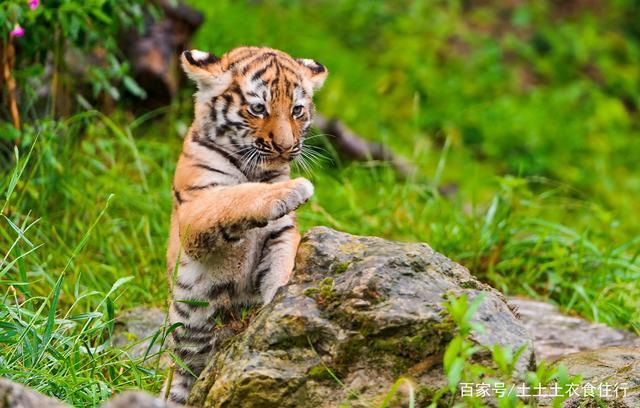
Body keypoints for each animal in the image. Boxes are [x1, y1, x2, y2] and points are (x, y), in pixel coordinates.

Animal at [163, 46, 328, 403]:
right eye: (258, 108)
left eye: (296, 110)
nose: (285, 147)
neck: (257, 170)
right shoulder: (195, 211)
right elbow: (234, 196)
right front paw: (292, 190)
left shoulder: (280, 234)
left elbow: (283, 266)